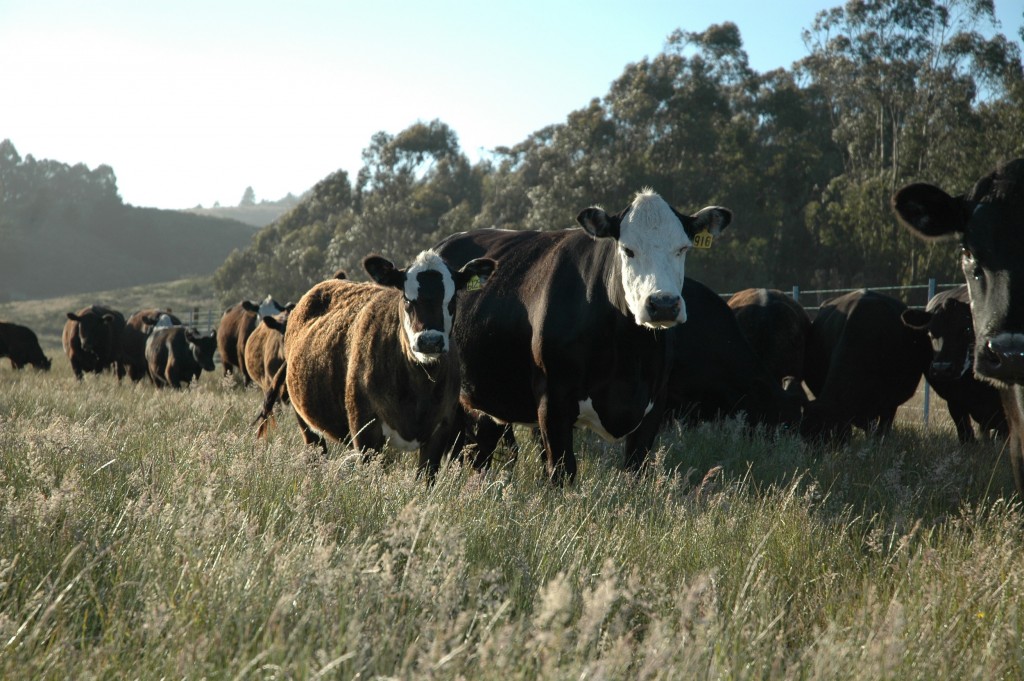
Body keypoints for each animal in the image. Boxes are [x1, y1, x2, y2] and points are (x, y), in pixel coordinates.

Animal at [436, 188, 733, 481]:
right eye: (627, 250)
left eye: (682, 249)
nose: (663, 304)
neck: (627, 351)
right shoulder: (553, 402)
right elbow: (562, 471)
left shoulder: (654, 405)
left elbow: (636, 470)